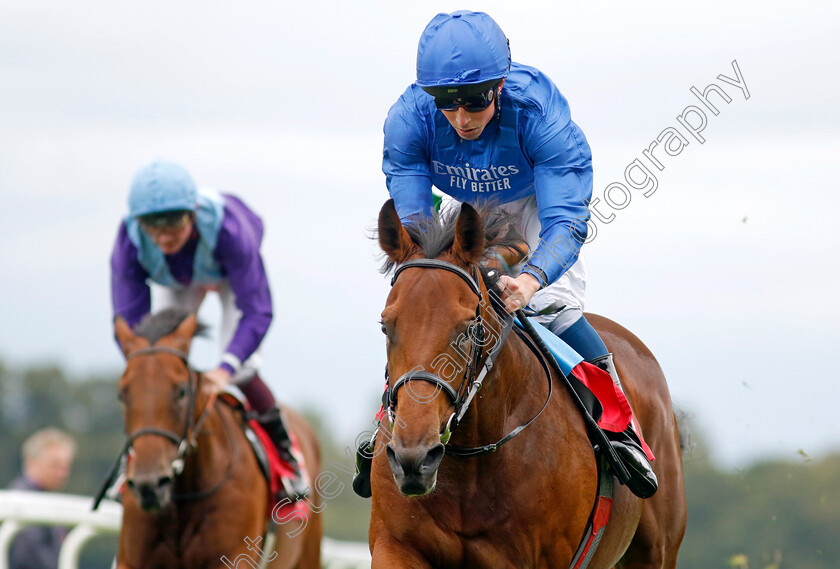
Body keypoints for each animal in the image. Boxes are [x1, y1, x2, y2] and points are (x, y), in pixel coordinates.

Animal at [111, 310, 322, 568]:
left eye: (181, 391)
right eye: (122, 393)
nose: (149, 484)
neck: (182, 501)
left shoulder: (234, 557)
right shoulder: (131, 559)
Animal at [368, 201, 684, 568]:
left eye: (470, 328)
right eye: (385, 326)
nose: (414, 458)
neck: (469, 468)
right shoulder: (395, 545)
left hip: (657, 550)